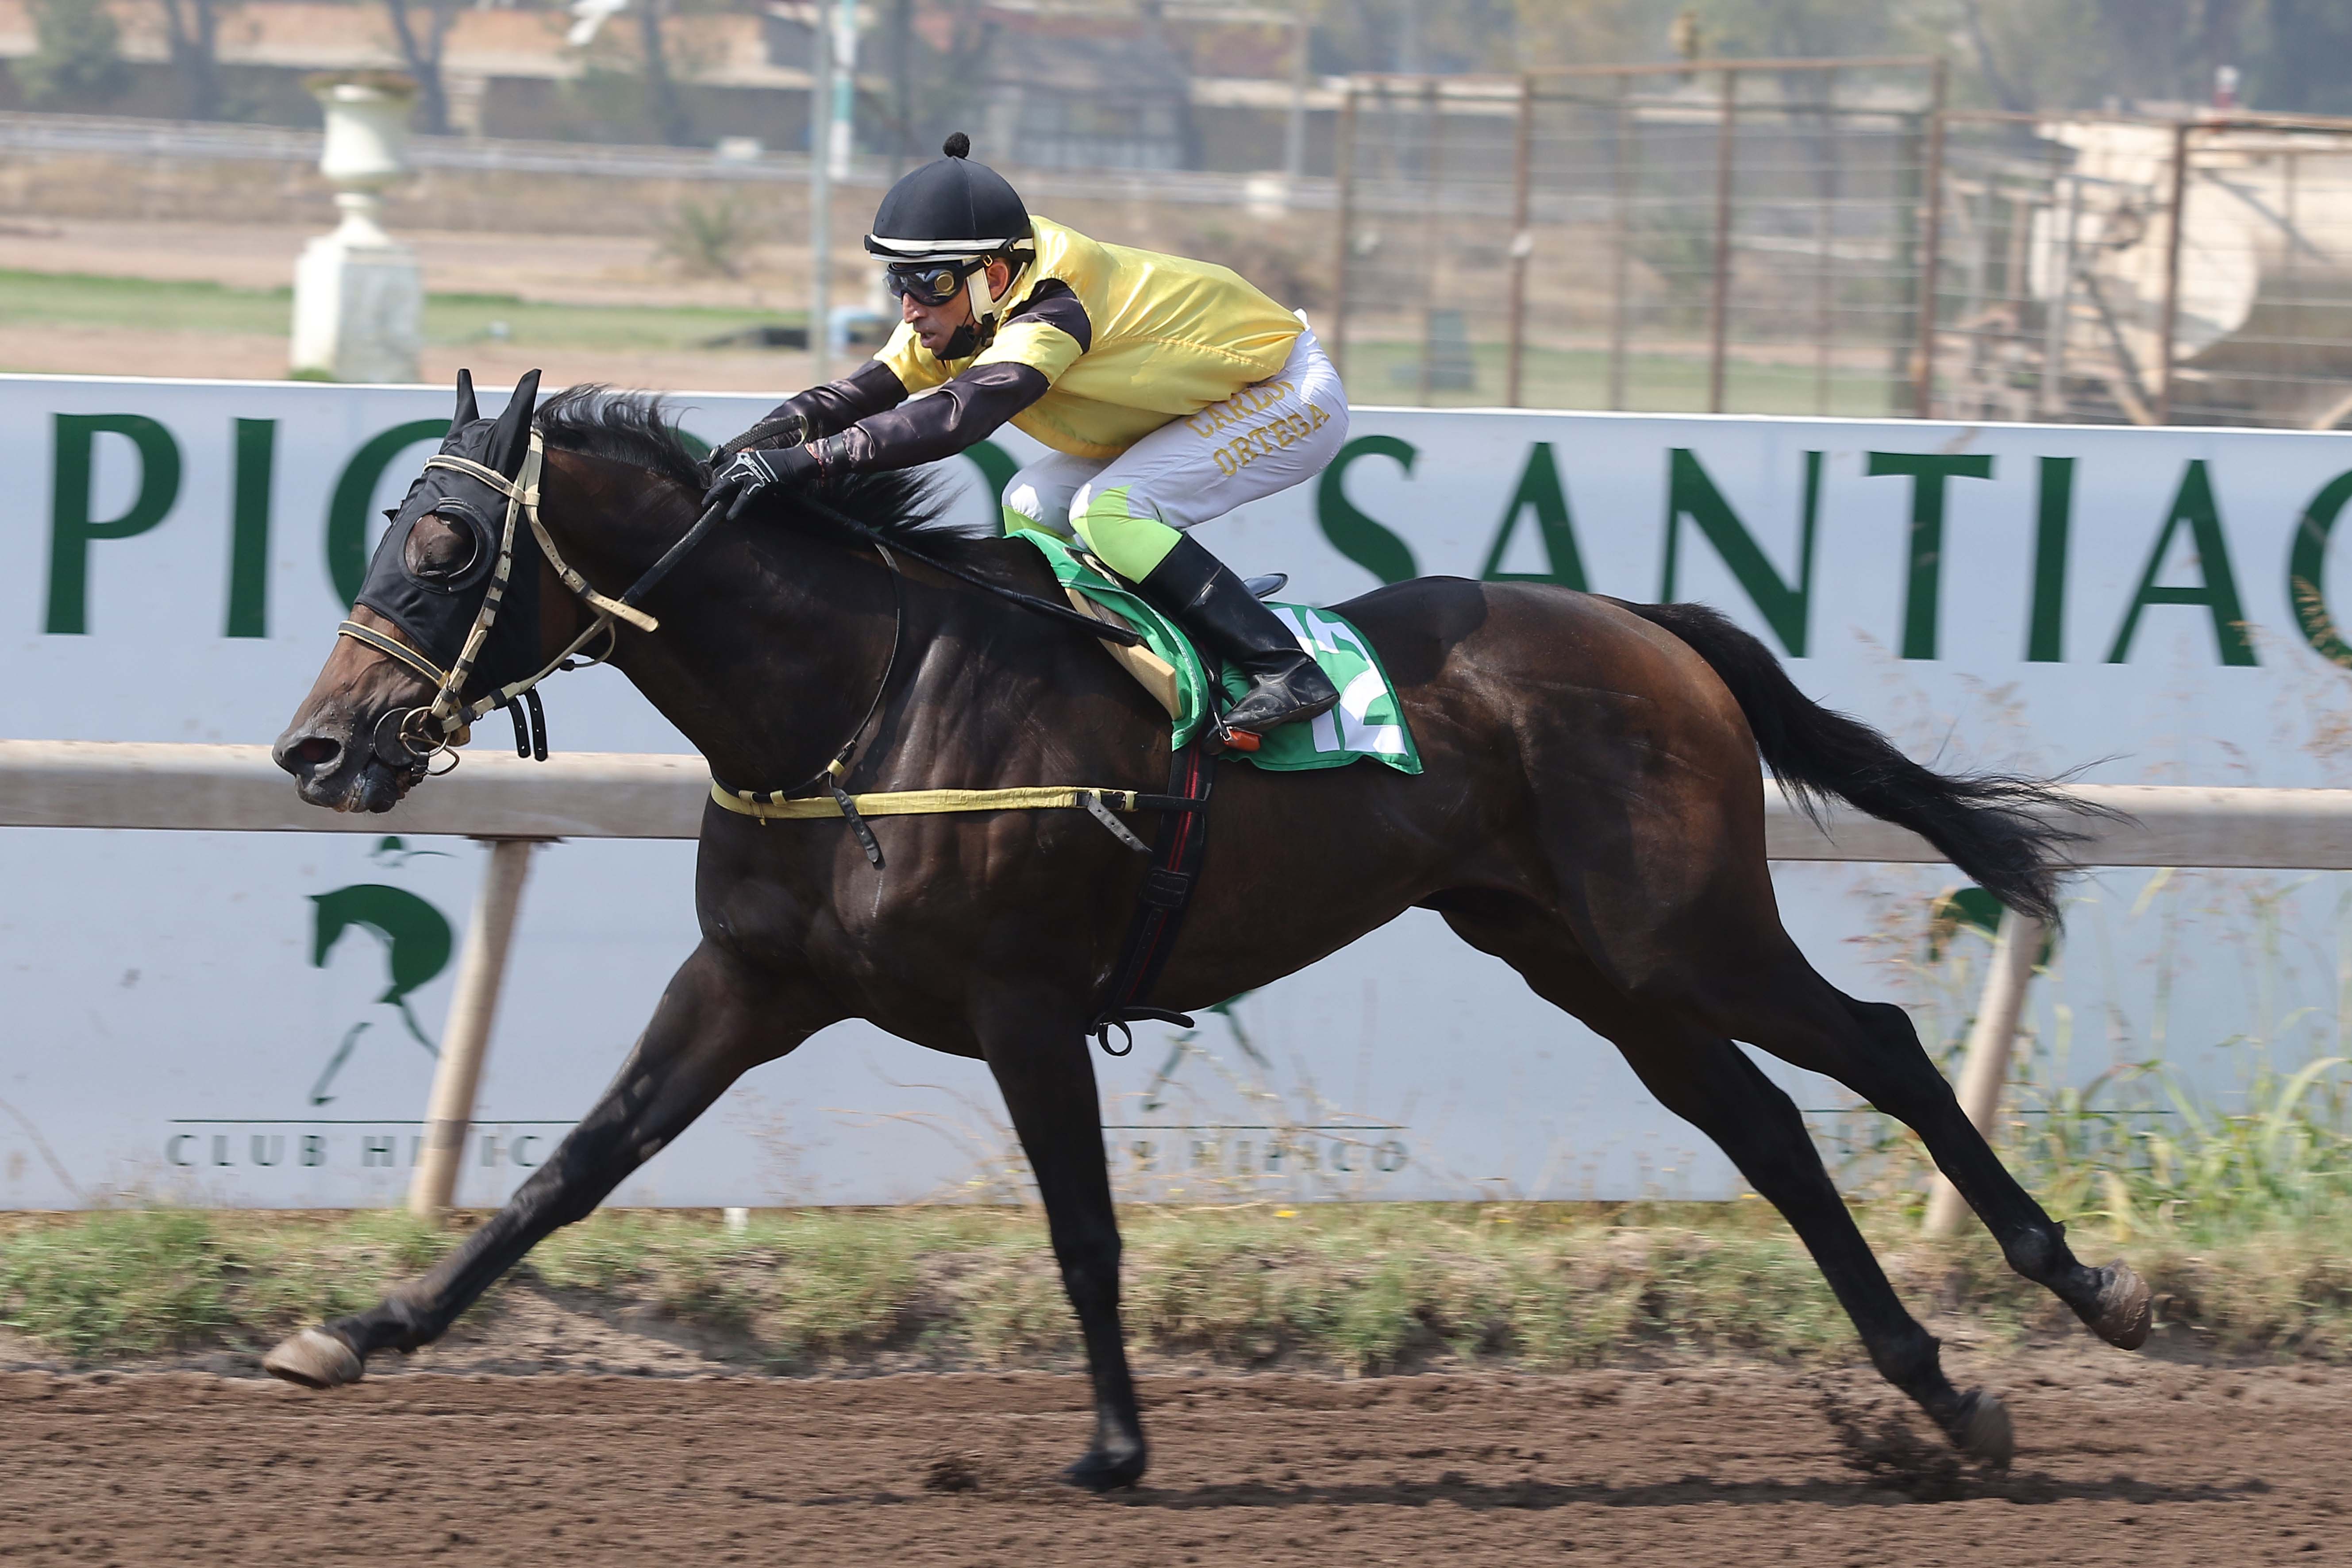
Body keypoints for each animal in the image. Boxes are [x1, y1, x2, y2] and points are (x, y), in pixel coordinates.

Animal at [265, 372, 2150, 1489]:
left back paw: (2086, 1290)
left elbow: (1082, 1227)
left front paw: (1111, 1444)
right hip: (1582, 958)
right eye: (386, 527)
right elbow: (565, 1169)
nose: (318, 750)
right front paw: (355, 1333)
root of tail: (1645, 621)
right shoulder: (750, 980)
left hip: (1682, 929)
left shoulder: (1024, 1002)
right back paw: (1942, 1396)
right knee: (1762, 1127)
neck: (857, 705)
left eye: (446, 541)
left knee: (1880, 1054)